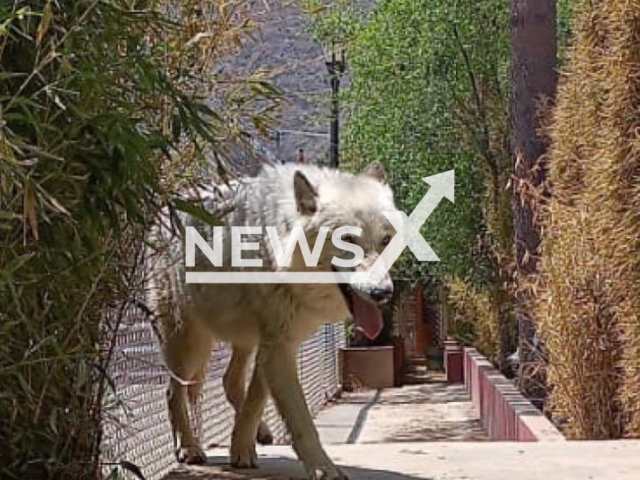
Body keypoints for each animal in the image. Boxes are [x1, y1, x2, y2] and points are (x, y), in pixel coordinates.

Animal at [154, 163, 396, 478]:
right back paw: (189, 448)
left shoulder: (279, 341)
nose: (383, 293)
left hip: (243, 340)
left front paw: (241, 449)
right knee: (174, 392)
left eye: (385, 240)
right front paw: (323, 468)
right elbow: (301, 420)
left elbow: (256, 400)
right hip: (190, 341)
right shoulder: (278, 346)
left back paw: (259, 433)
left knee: (229, 381)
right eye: (347, 239)